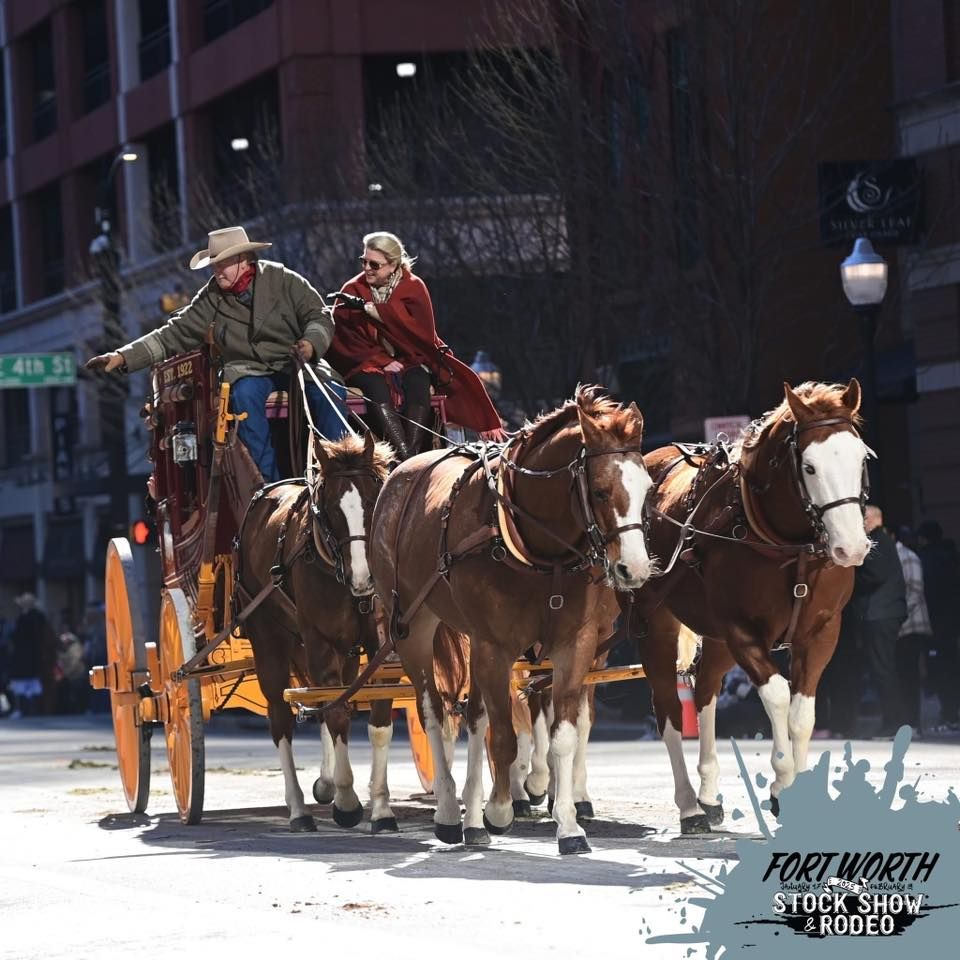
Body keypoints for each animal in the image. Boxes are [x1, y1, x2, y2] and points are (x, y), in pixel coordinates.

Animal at [235, 436, 394, 832]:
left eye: (373, 498)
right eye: (331, 511)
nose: (364, 578)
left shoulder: (380, 645)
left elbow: (377, 718)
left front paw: (381, 808)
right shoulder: (320, 641)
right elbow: (335, 713)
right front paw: (348, 801)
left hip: (344, 653)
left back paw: (325, 783)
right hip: (269, 638)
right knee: (281, 717)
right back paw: (299, 809)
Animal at [372, 386, 656, 852]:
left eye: (648, 488)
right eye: (598, 491)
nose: (633, 569)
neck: (537, 547)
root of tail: (401, 472)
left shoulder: (574, 644)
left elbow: (561, 732)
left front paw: (568, 824)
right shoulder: (496, 645)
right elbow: (503, 736)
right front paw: (500, 810)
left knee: (475, 715)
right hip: (411, 627)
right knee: (435, 712)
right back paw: (449, 810)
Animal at [632, 378, 872, 828]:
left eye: (861, 458)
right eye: (809, 467)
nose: (850, 547)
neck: (789, 546)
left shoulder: (822, 632)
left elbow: (802, 712)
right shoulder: (742, 631)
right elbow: (777, 695)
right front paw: (783, 784)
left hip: (717, 639)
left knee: (705, 691)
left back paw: (708, 793)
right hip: (655, 624)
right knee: (666, 706)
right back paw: (689, 804)